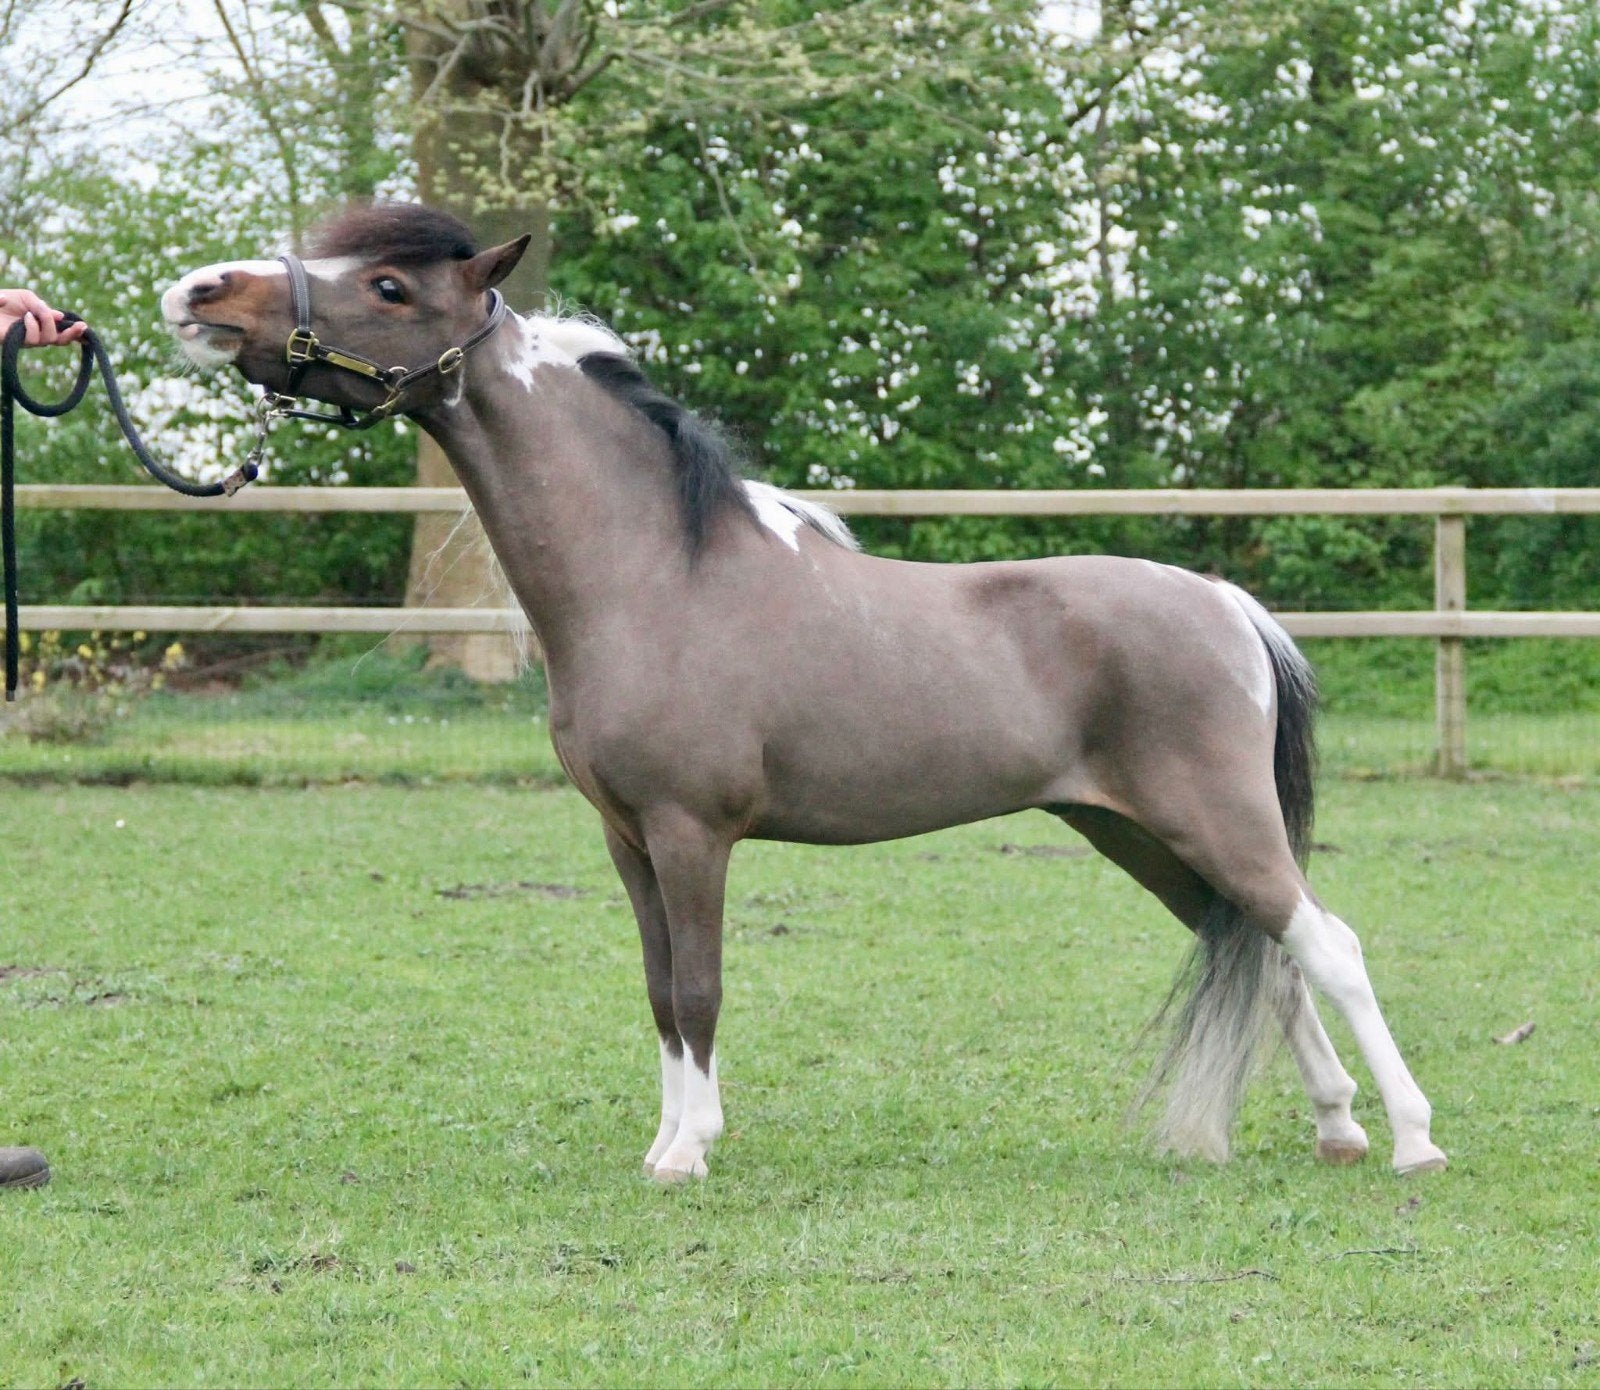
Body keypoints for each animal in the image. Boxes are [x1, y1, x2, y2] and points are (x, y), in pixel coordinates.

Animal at [162, 203, 1447, 1182]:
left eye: (385, 284)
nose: (198, 293)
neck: (654, 575)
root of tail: (1228, 606)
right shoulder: (627, 839)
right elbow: (659, 991)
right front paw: (667, 1139)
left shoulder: (692, 832)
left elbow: (699, 986)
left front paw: (689, 1153)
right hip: (1140, 835)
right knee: (1268, 954)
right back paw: (1336, 1127)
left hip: (1214, 821)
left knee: (1326, 943)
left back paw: (1410, 1141)